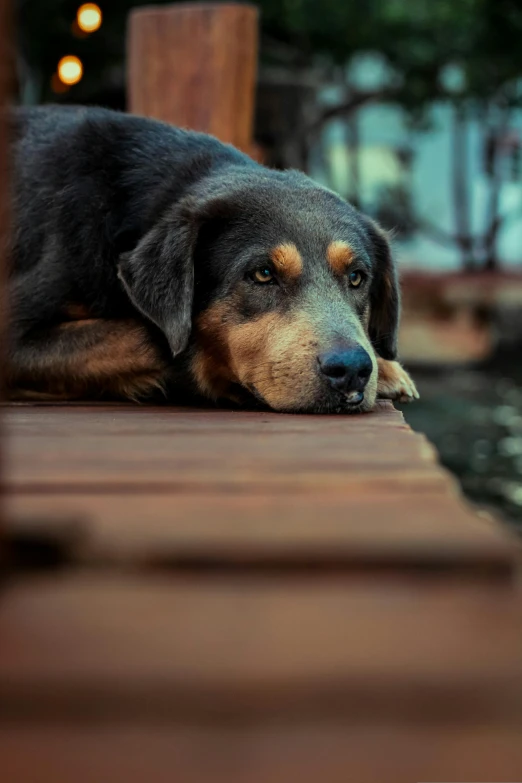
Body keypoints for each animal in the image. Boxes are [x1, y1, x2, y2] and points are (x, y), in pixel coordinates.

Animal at [6, 106, 416, 414]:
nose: (352, 369)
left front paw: (385, 366)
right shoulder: (13, 335)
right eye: (263, 274)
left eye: (357, 278)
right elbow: (148, 337)